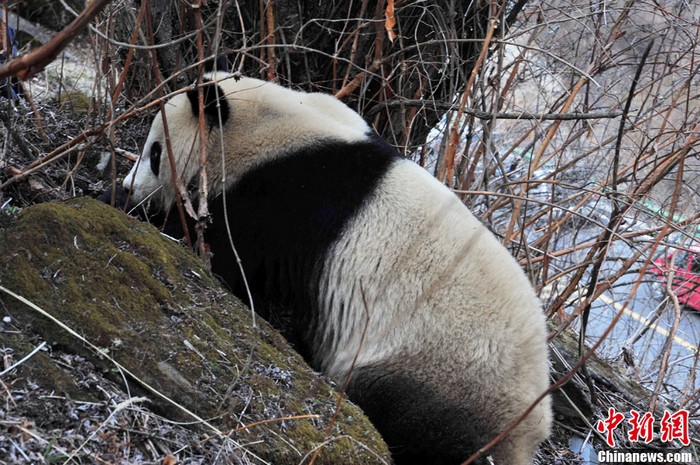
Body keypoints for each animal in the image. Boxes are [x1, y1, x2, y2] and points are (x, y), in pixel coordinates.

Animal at [123, 71, 556, 464]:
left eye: (155, 153)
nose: (131, 186)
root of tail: (526, 436)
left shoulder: (279, 200)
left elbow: (222, 254)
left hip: (436, 372)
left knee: (406, 415)